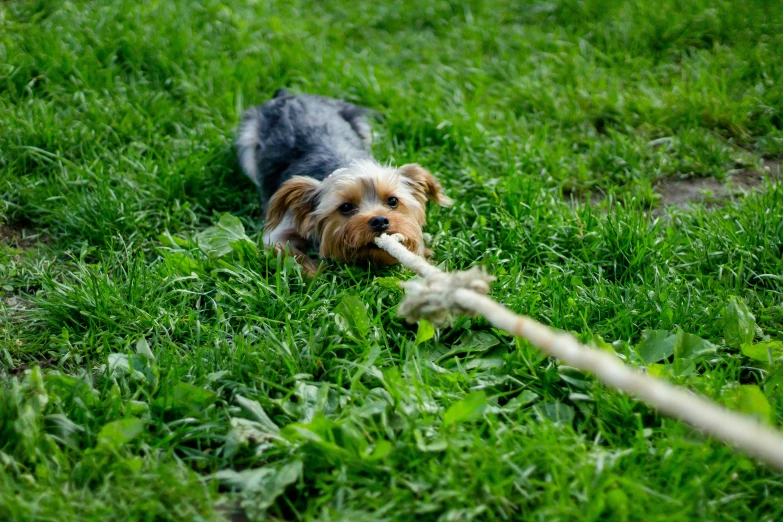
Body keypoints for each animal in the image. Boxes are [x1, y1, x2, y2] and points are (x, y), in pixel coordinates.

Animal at [236, 88, 450, 272]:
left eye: (393, 201)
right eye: (345, 207)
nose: (380, 220)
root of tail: (287, 96)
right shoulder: (282, 227)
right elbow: (284, 248)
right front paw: (314, 273)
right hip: (247, 142)